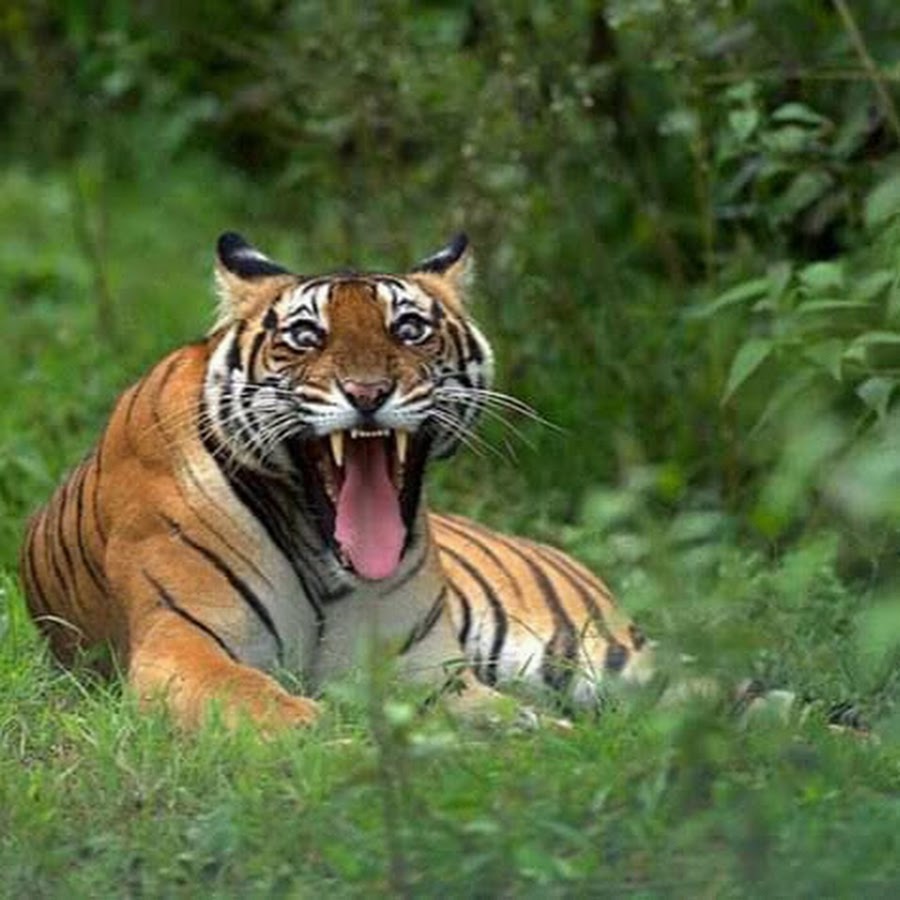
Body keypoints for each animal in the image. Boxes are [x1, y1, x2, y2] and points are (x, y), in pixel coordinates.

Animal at [17, 231, 665, 731]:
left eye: (409, 329)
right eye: (306, 337)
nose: (368, 392)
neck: (322, 558)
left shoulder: (424, 673)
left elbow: (513, 722)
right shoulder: (180, 644)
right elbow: (255, 701)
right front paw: (326, 738)